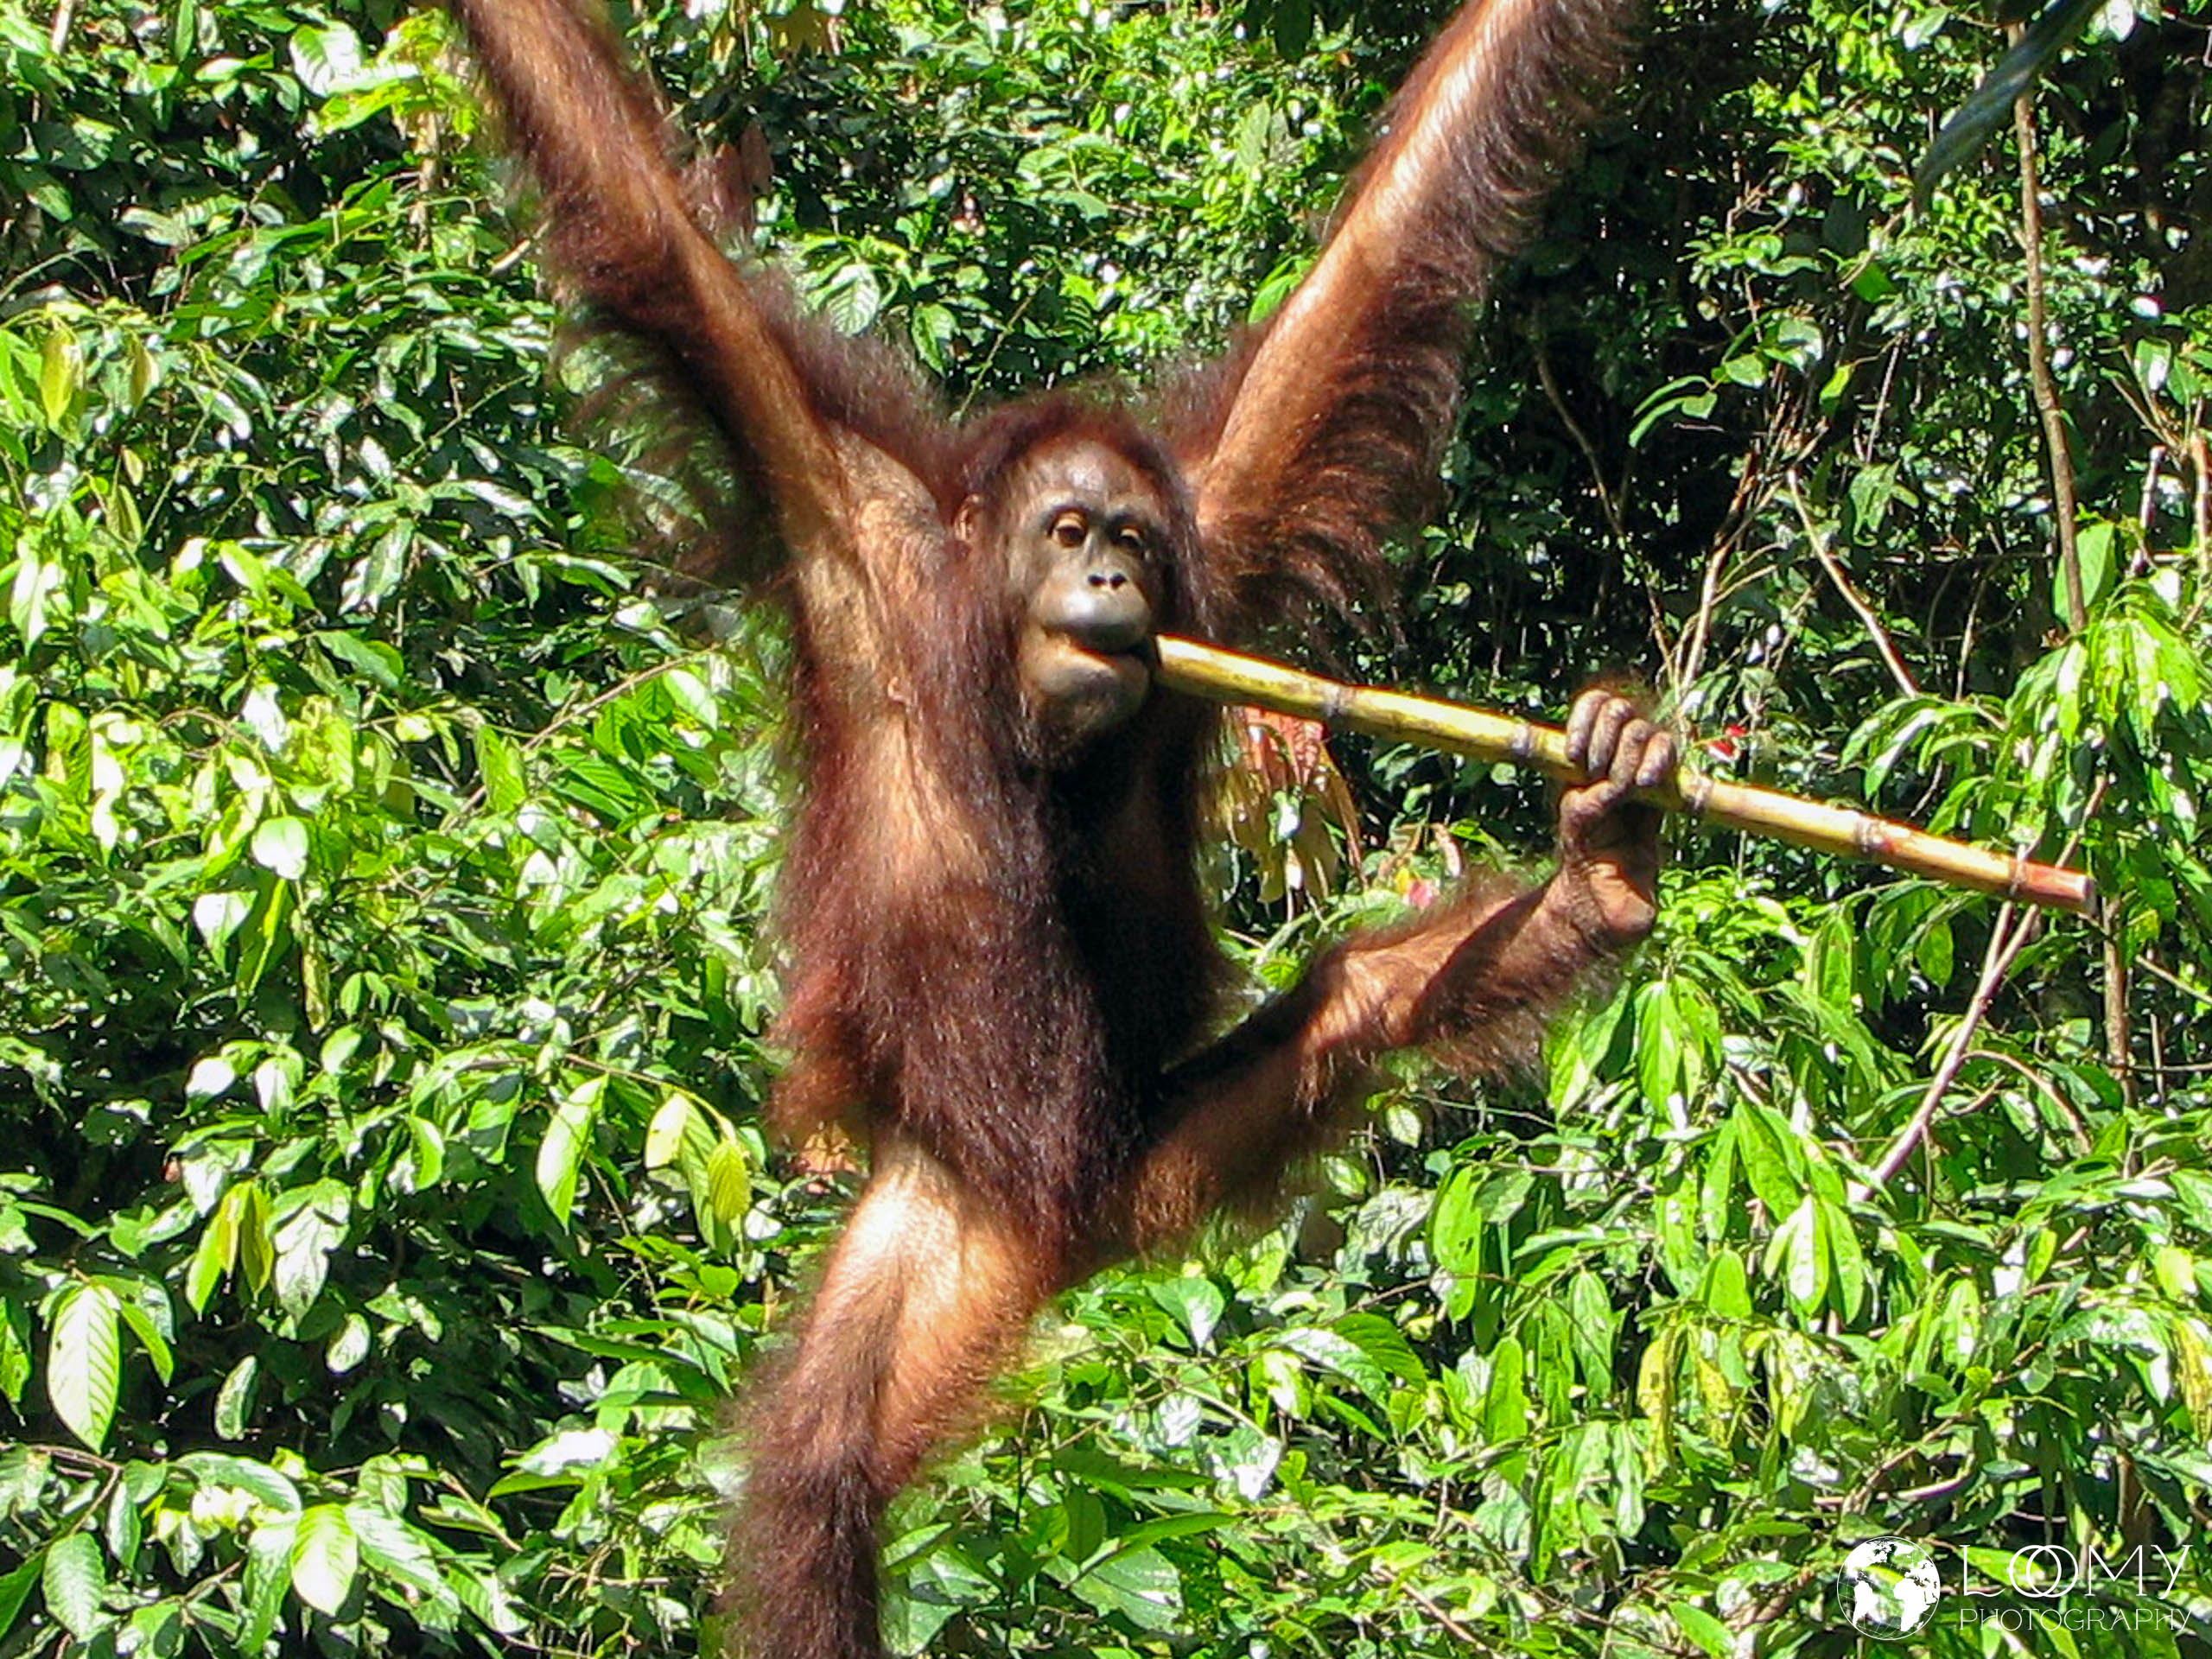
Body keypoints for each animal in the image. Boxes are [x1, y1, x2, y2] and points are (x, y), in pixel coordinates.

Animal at [442, 2, 1662, 1655]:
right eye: (1069, 532)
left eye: (1133, 541)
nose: (1113, 588)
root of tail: (1065, 1225)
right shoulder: (837, 510)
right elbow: (644, 230)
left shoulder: (1223, 521)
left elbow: (1376, 272)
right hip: (938, 1212)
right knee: (819, 1468)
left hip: (1151, 1152)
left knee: (1351, 1009)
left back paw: (1600, 879)